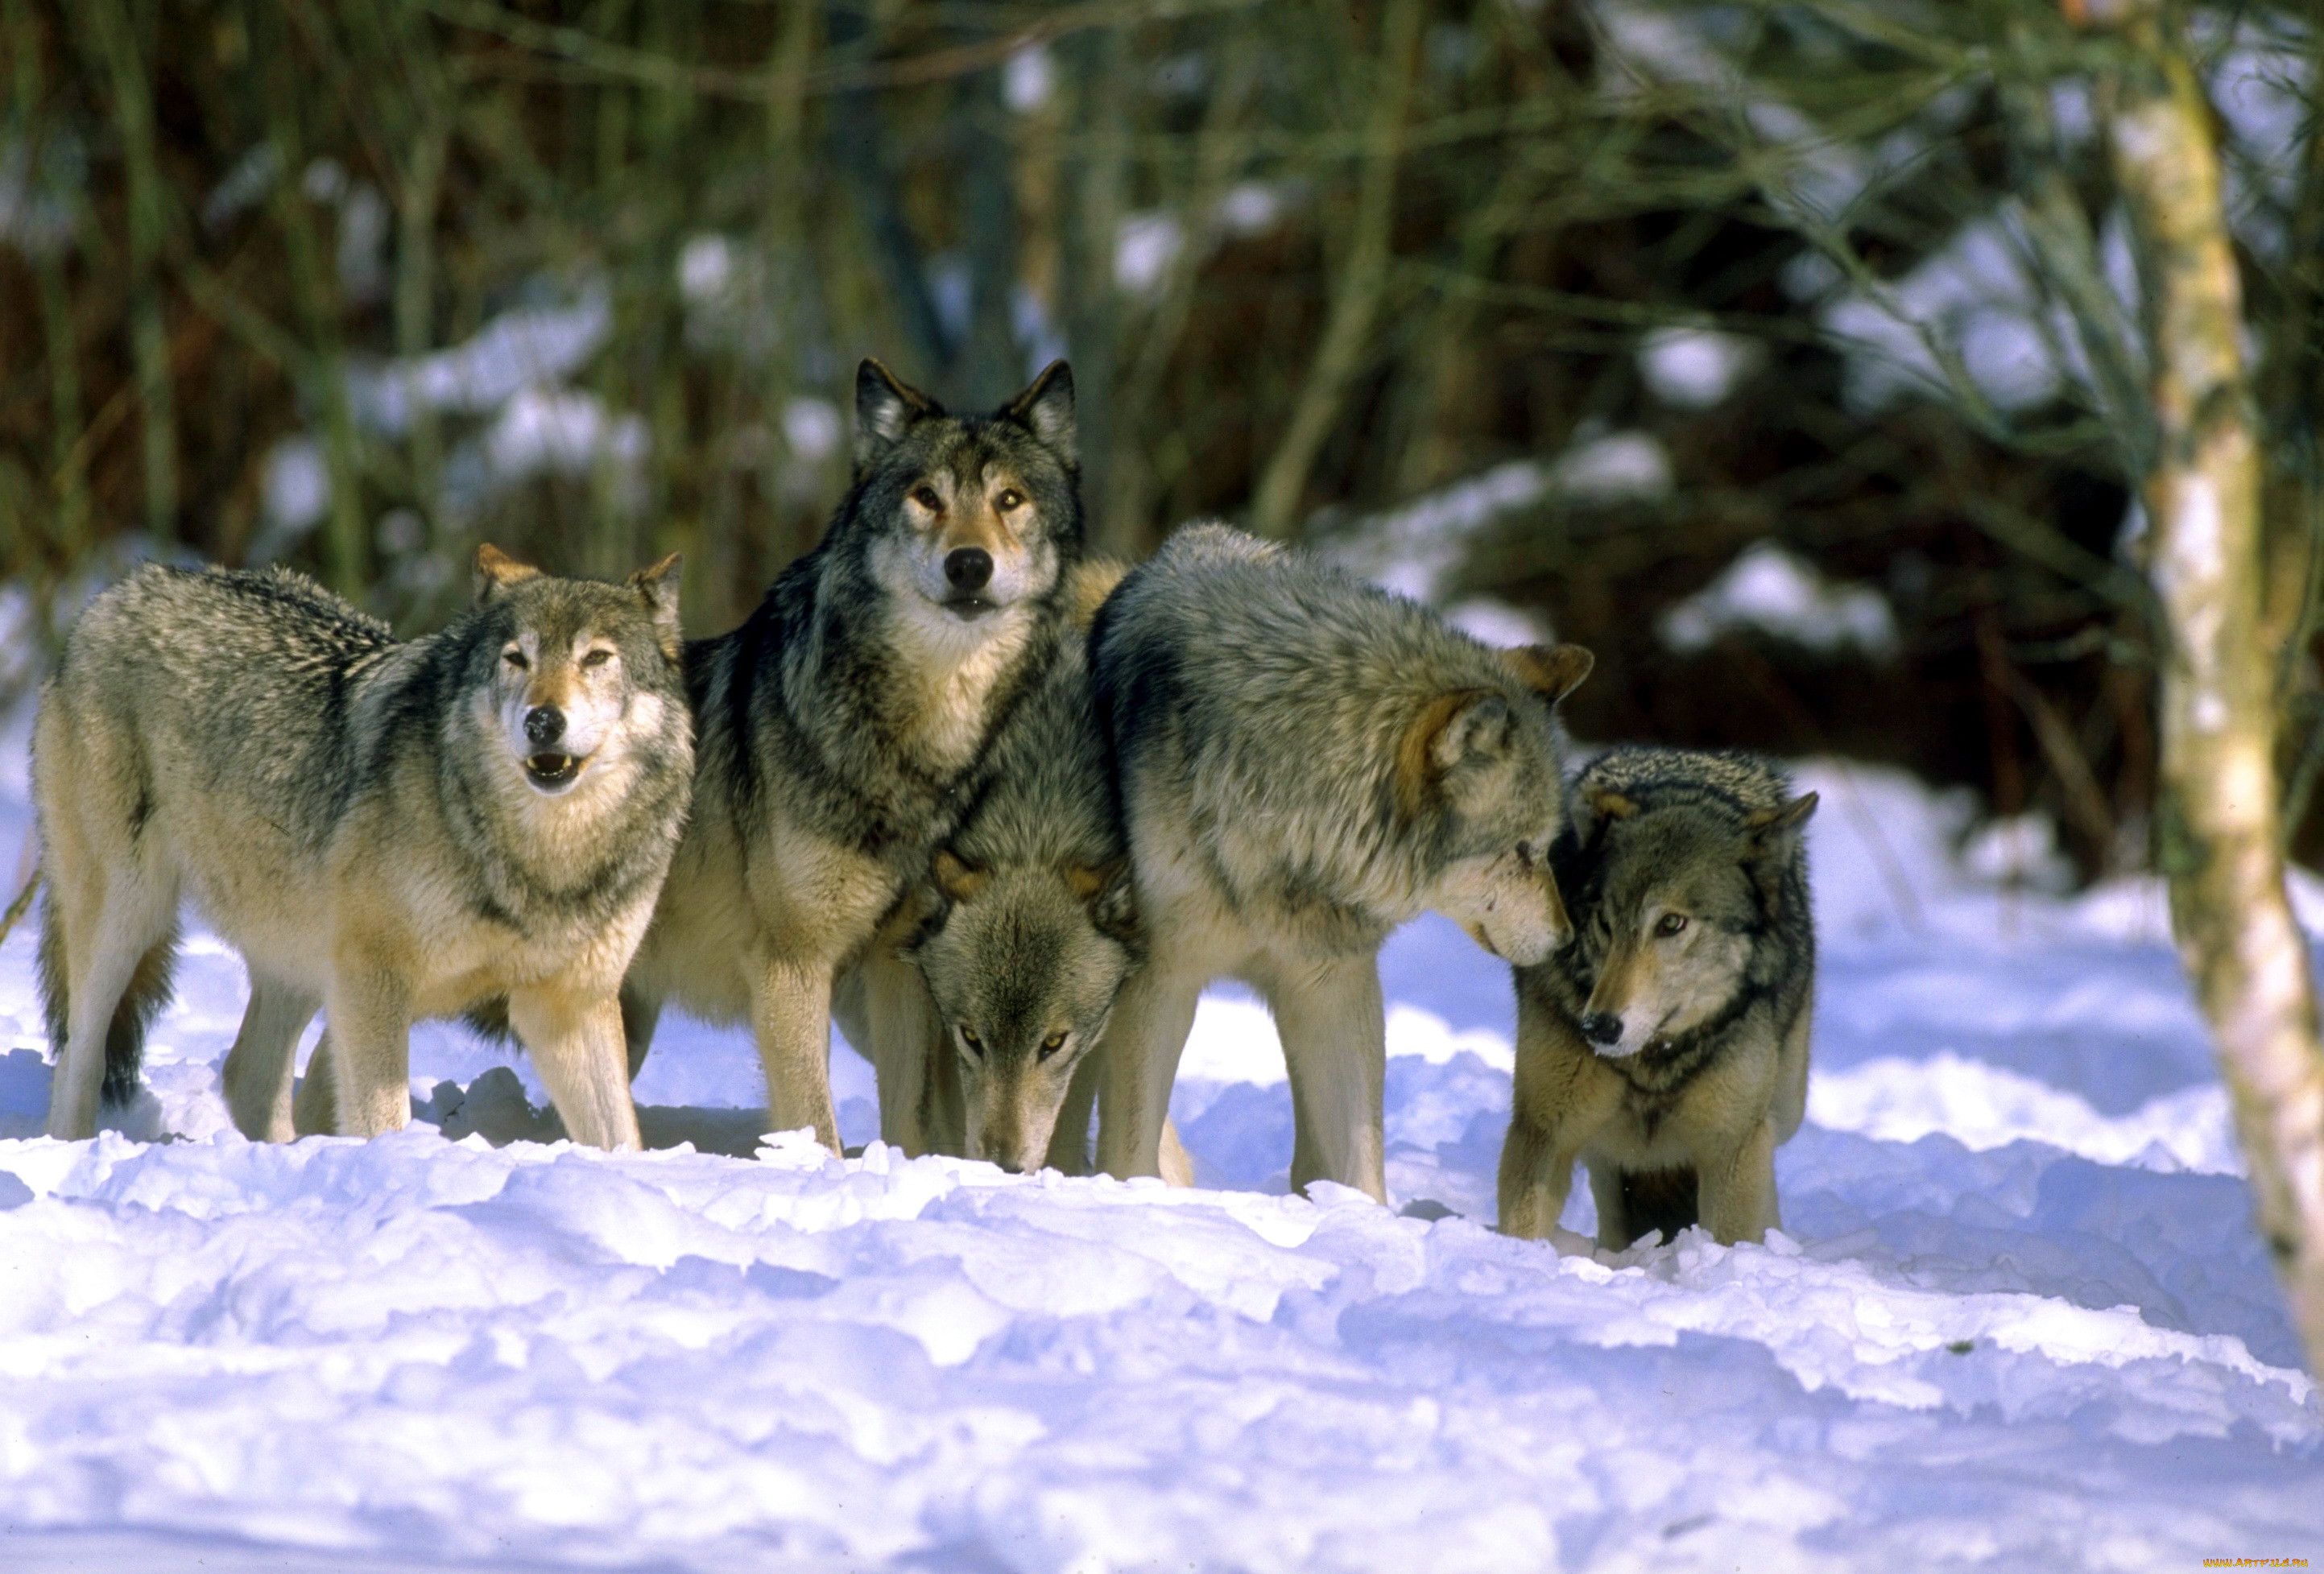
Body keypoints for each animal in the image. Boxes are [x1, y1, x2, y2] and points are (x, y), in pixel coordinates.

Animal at [36, 546, 688, 1148]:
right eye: (517, 659)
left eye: (596, 657)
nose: (543, 722)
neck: (542, 857)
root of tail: (124, 588)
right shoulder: (371, 980)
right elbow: (383, 1121)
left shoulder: (570, 1006)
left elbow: (623, 1139)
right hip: (129, 917)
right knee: (79, 1060)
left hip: (297, 953)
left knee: (249, 1075)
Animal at [622, 355, 1082, 1148]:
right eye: (926, 497)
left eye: (1010, 500)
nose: (969, 564)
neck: (917, 744)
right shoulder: (791, 963)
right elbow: (815, 1120)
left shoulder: (901, 964)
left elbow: (912, 1117)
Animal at [1087, 520, 1598, 1200]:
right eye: (1519, 849)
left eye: (1544, 847)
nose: (1566, 940)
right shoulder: (1160, 980)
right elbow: (1130, 1146)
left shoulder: (1334, 983)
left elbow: (1361, 1162)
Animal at [1496, 744, 1822, 1246]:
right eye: (1605, 922)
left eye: (1671, 923)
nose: (1599, 1027)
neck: (1653, 1063)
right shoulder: (1543, 1131)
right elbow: (1522, 1228)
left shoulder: (1732, 1147)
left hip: (1784, 1111)